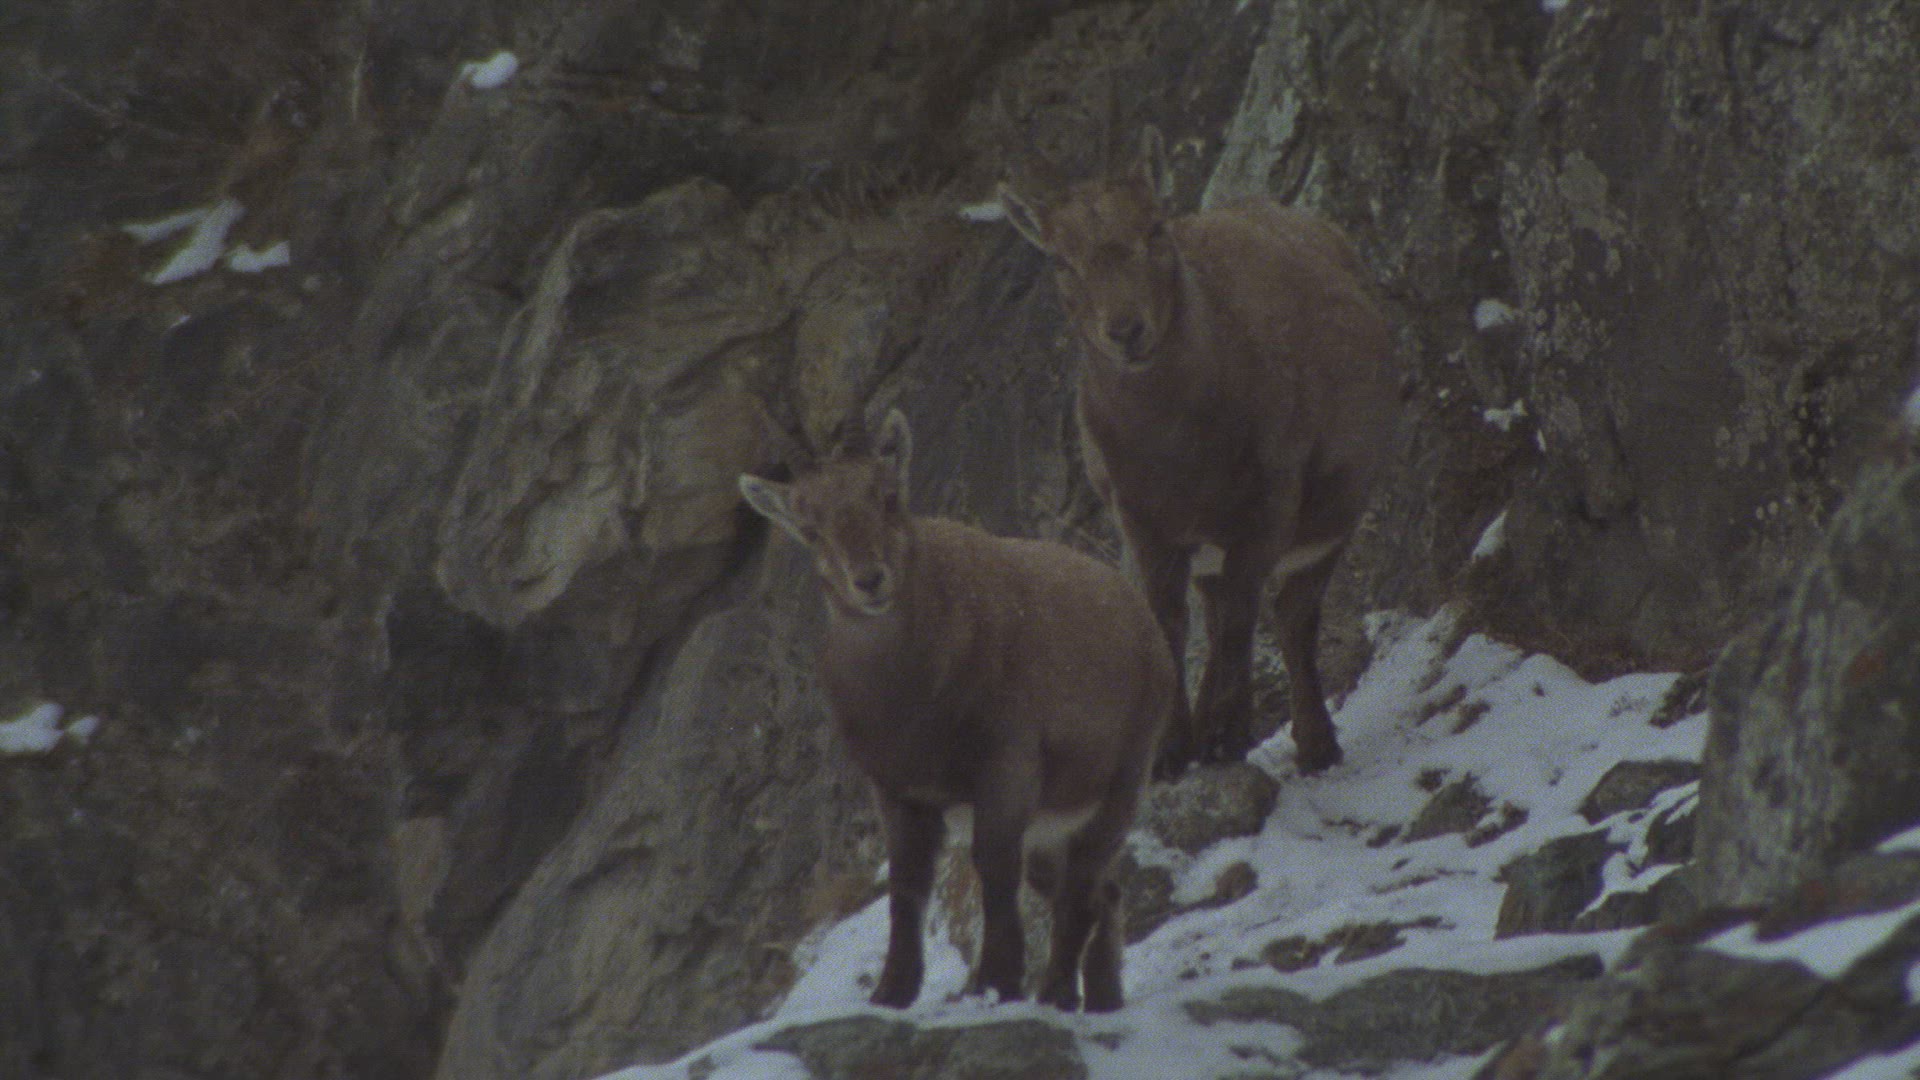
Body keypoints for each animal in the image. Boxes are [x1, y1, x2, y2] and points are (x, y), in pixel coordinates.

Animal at [738, 410, 1174, 1011]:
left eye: (889, 496)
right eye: (809, 528)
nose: (869, 580)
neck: (913, 696)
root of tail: (1143, 619)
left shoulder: (1007, 762)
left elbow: (991, 864)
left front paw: (996, 979)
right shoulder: (899, 789)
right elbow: (907, 885)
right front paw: (892, 991)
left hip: (1121, 780)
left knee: (1082, 892)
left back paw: (1056, 990)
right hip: (1052, 827)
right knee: (1100, 891)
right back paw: (1099, 997)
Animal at [1000, 129, 1398, 776]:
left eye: (1155, 228)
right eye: (1060, 259)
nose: (1126, 331)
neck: (1180, 450)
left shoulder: (1269, 501)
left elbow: (1242, 616)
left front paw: (1225, 735)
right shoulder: (1143, 520)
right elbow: (1168, 621)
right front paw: (1170, 749)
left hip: (1332, 512)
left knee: (1292, 616)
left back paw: (1313, 741)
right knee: (1220, 612)